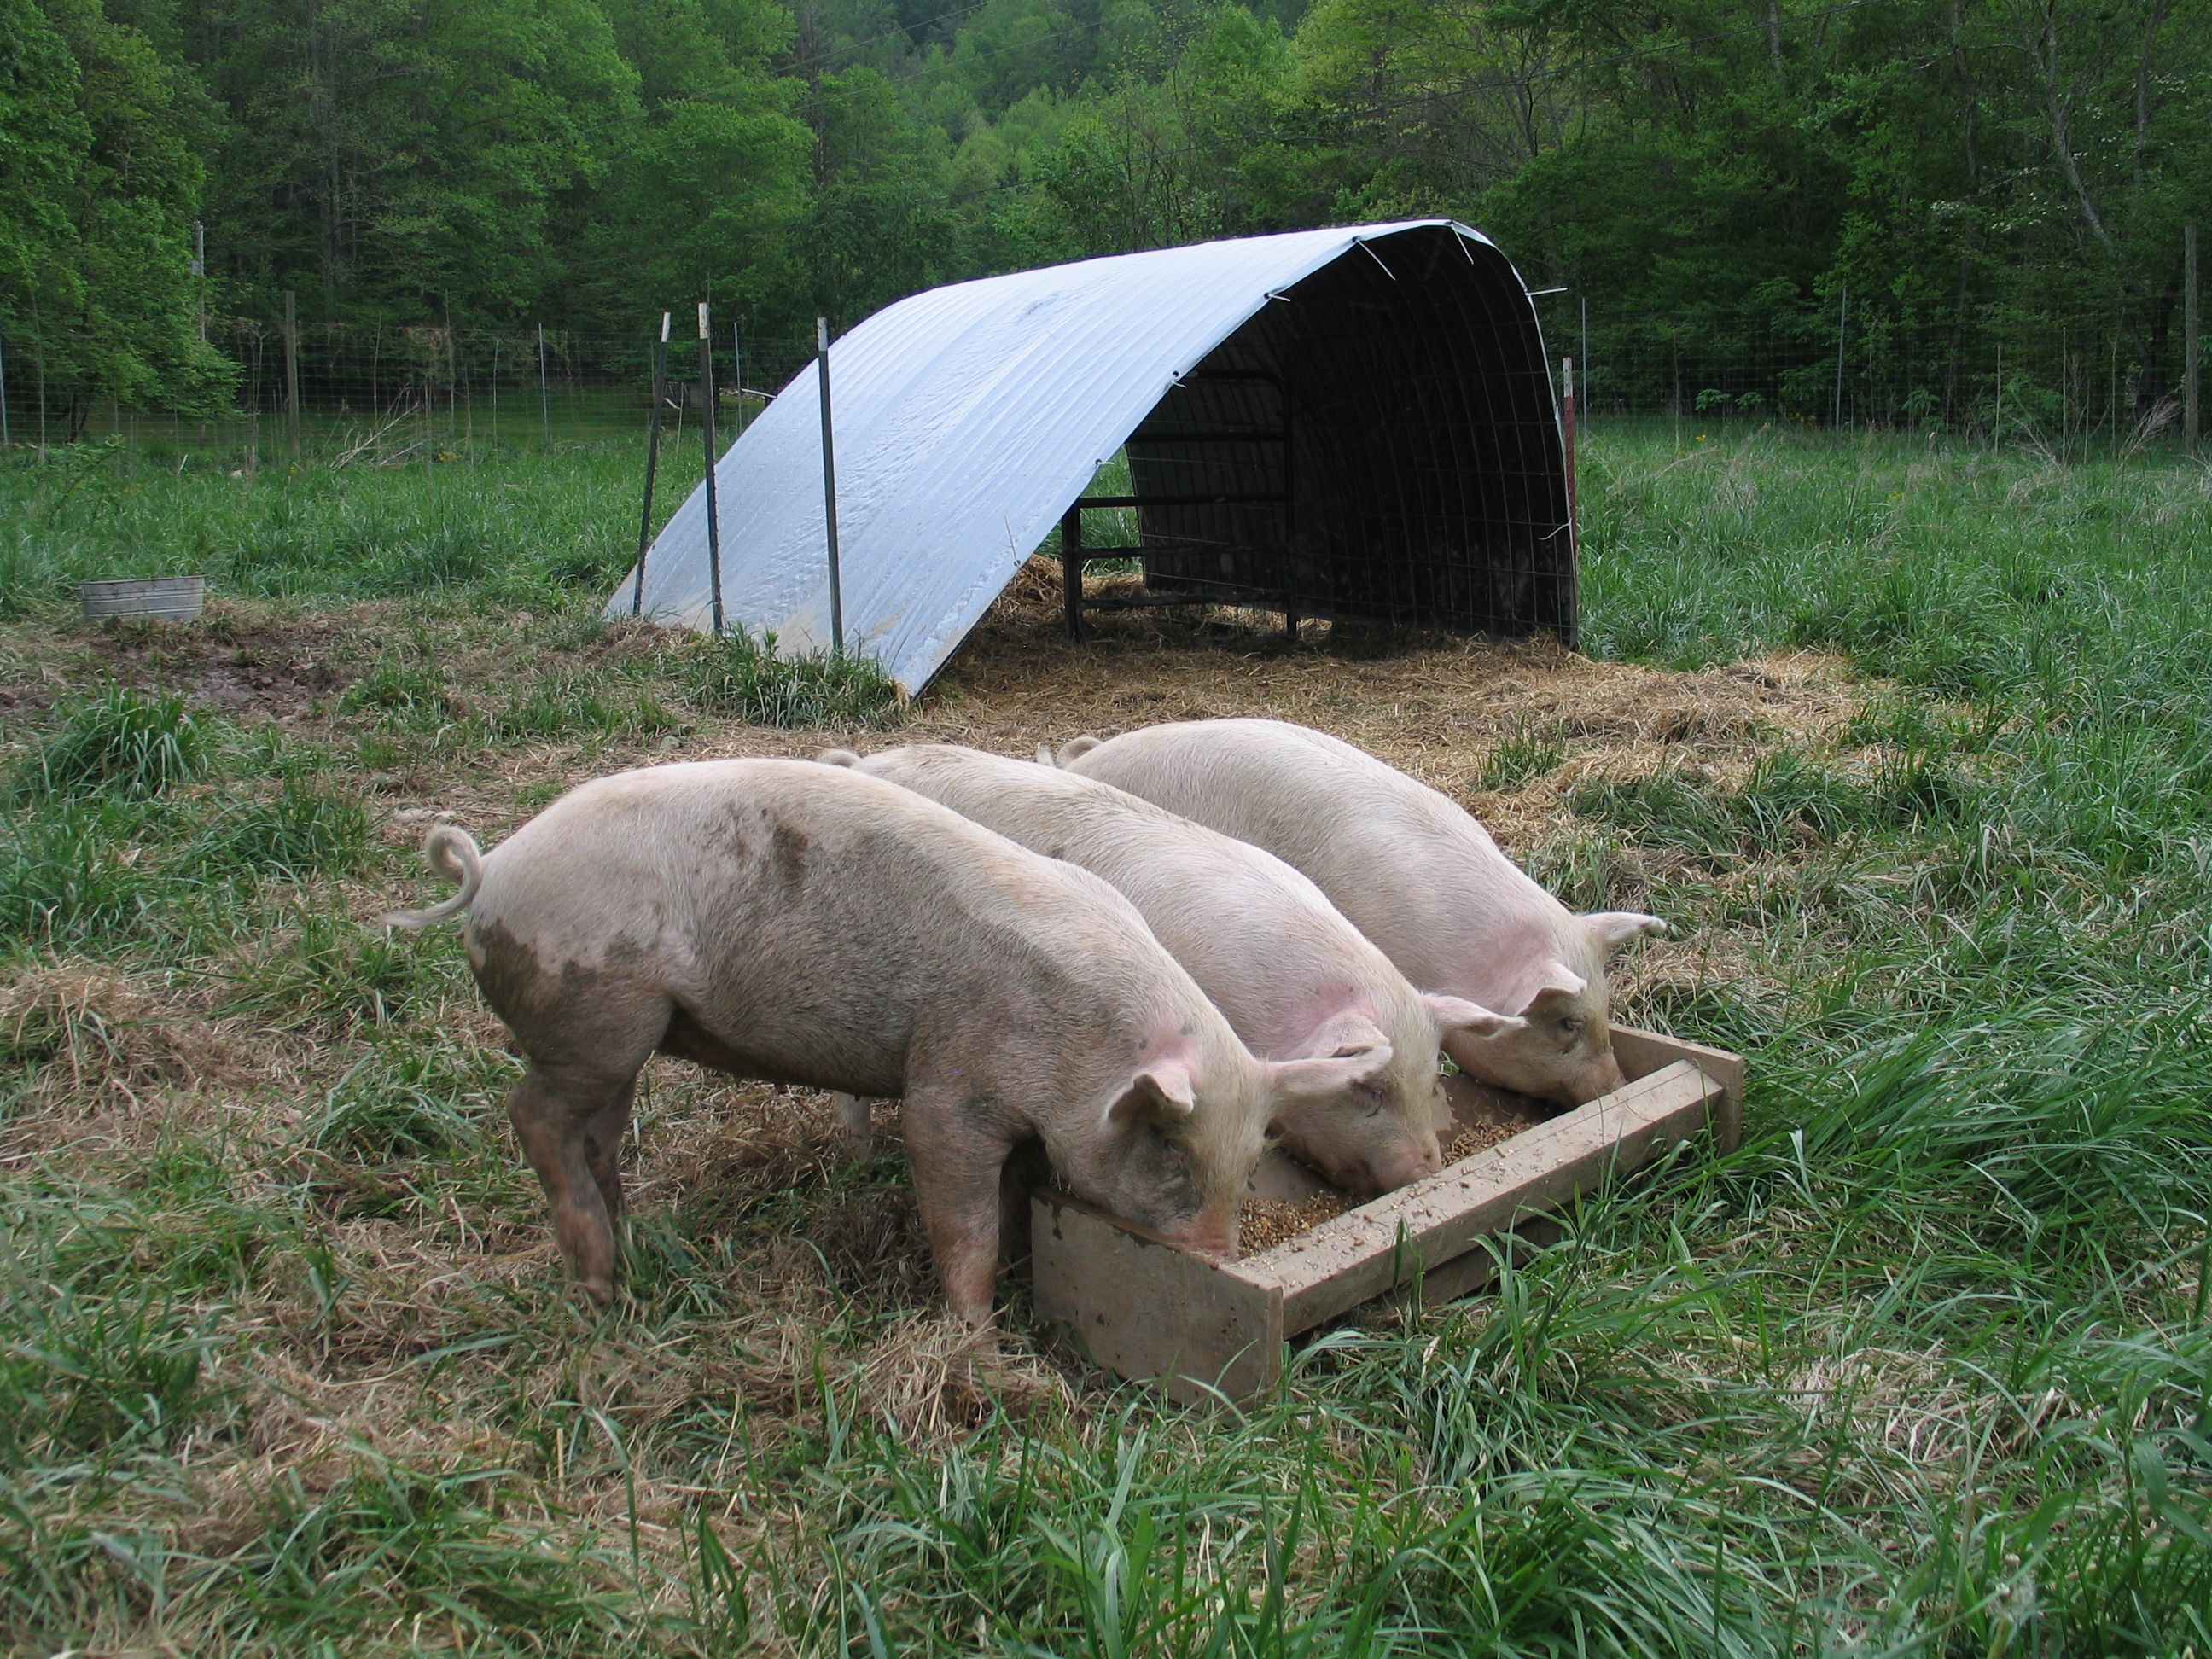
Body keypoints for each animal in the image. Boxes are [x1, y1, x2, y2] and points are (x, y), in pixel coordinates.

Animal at [380, 765, 1380, 1327]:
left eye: (1248, 1164)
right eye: (1171, 1150)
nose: (1217, 1256)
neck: (1083, 1039)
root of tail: (493, 875)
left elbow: (1009, 1205)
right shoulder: (949, 1083)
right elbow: (959, 1214)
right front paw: (975, 1339)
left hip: (626, 1034)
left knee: (595, 1132)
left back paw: (625, 1261)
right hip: (593, 1011)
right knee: (532, 1114)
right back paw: (595, 1285)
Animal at [823, 748, 1530, 1203]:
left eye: (1429, 1078)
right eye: (1369, 1089)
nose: (1423, 1172)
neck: (1267, 1011)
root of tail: (864, 765)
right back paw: (859, 1154)